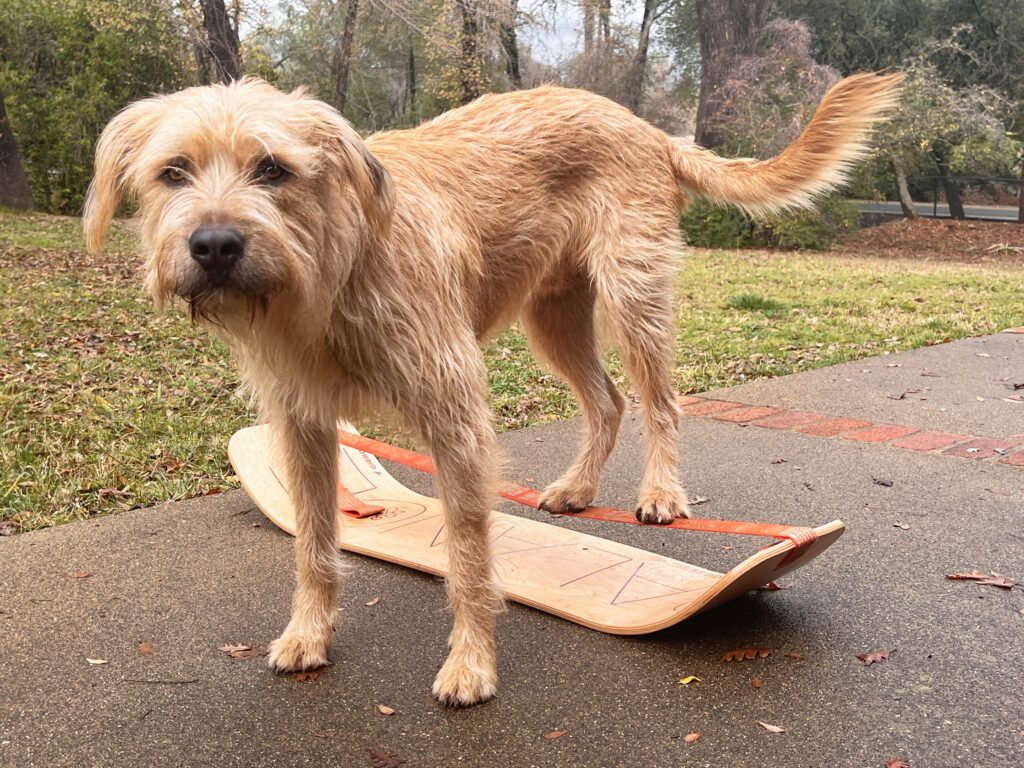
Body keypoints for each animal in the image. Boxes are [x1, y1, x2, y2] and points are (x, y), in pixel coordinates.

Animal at [88, 73, 901, 708]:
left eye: (272, 169)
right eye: (173, 172)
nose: (214, 245)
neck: (333, 266)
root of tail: (642, 124)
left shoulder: (456, 421)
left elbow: (470, 555)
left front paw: (471, 664)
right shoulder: (305, 428)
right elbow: (314, 545)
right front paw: (308, 635)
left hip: (631, 297)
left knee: (661, 401)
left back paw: (662, 494)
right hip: (555, 316)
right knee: (607, 400)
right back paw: (577, 489)